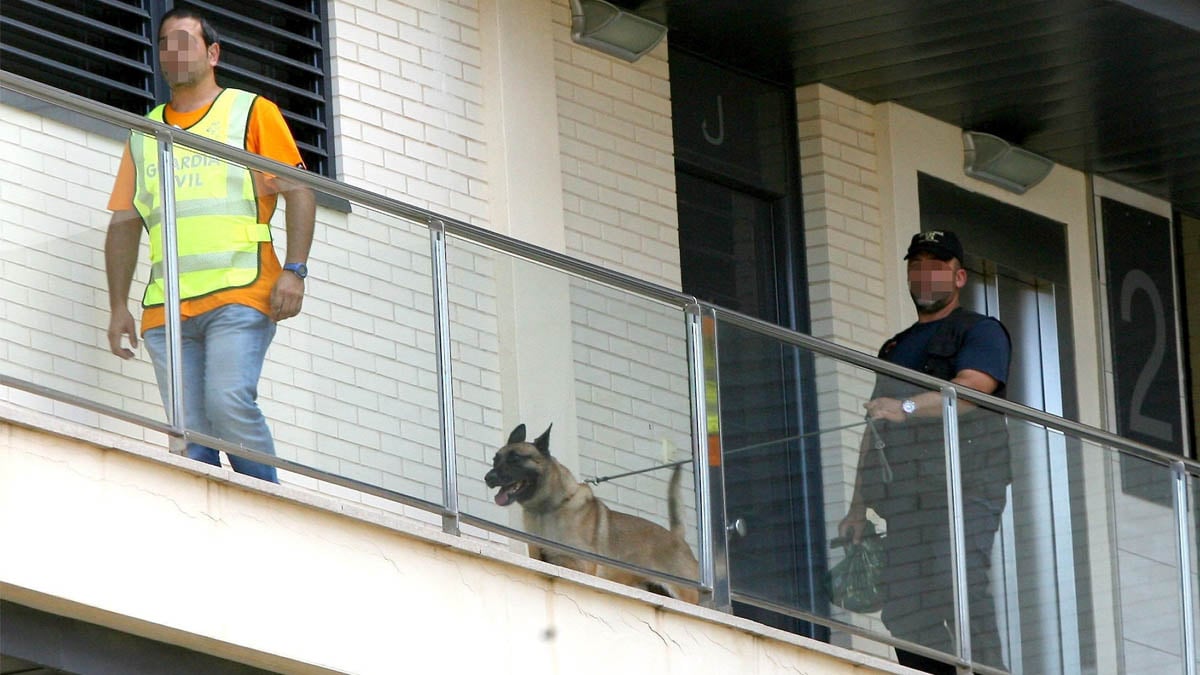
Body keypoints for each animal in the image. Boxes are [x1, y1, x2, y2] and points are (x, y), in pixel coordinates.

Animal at [482, 420, 700, 598]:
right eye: (495, 460)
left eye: (516, 459)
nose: (488, 477)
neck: (547, 509)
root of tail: (677, 537)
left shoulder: (580, 566)